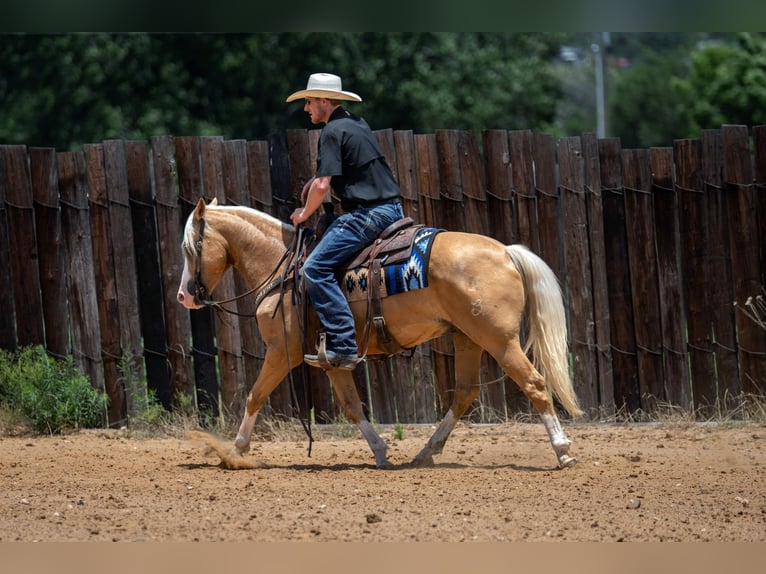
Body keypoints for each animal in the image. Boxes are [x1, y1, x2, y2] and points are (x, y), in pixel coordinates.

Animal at [176, 198, 583, 469]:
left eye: (189, 247)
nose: (184, 296)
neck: (285, 269)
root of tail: (506, 252)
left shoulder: (281, 351)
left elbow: (254, 396)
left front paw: (235, 452)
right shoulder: (331, 360)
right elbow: (352, 405)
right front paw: (382, 452)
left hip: (499, 341)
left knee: (534, 383)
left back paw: (562, 450)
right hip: (467, 338)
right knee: (465, 393)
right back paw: (426, 452)